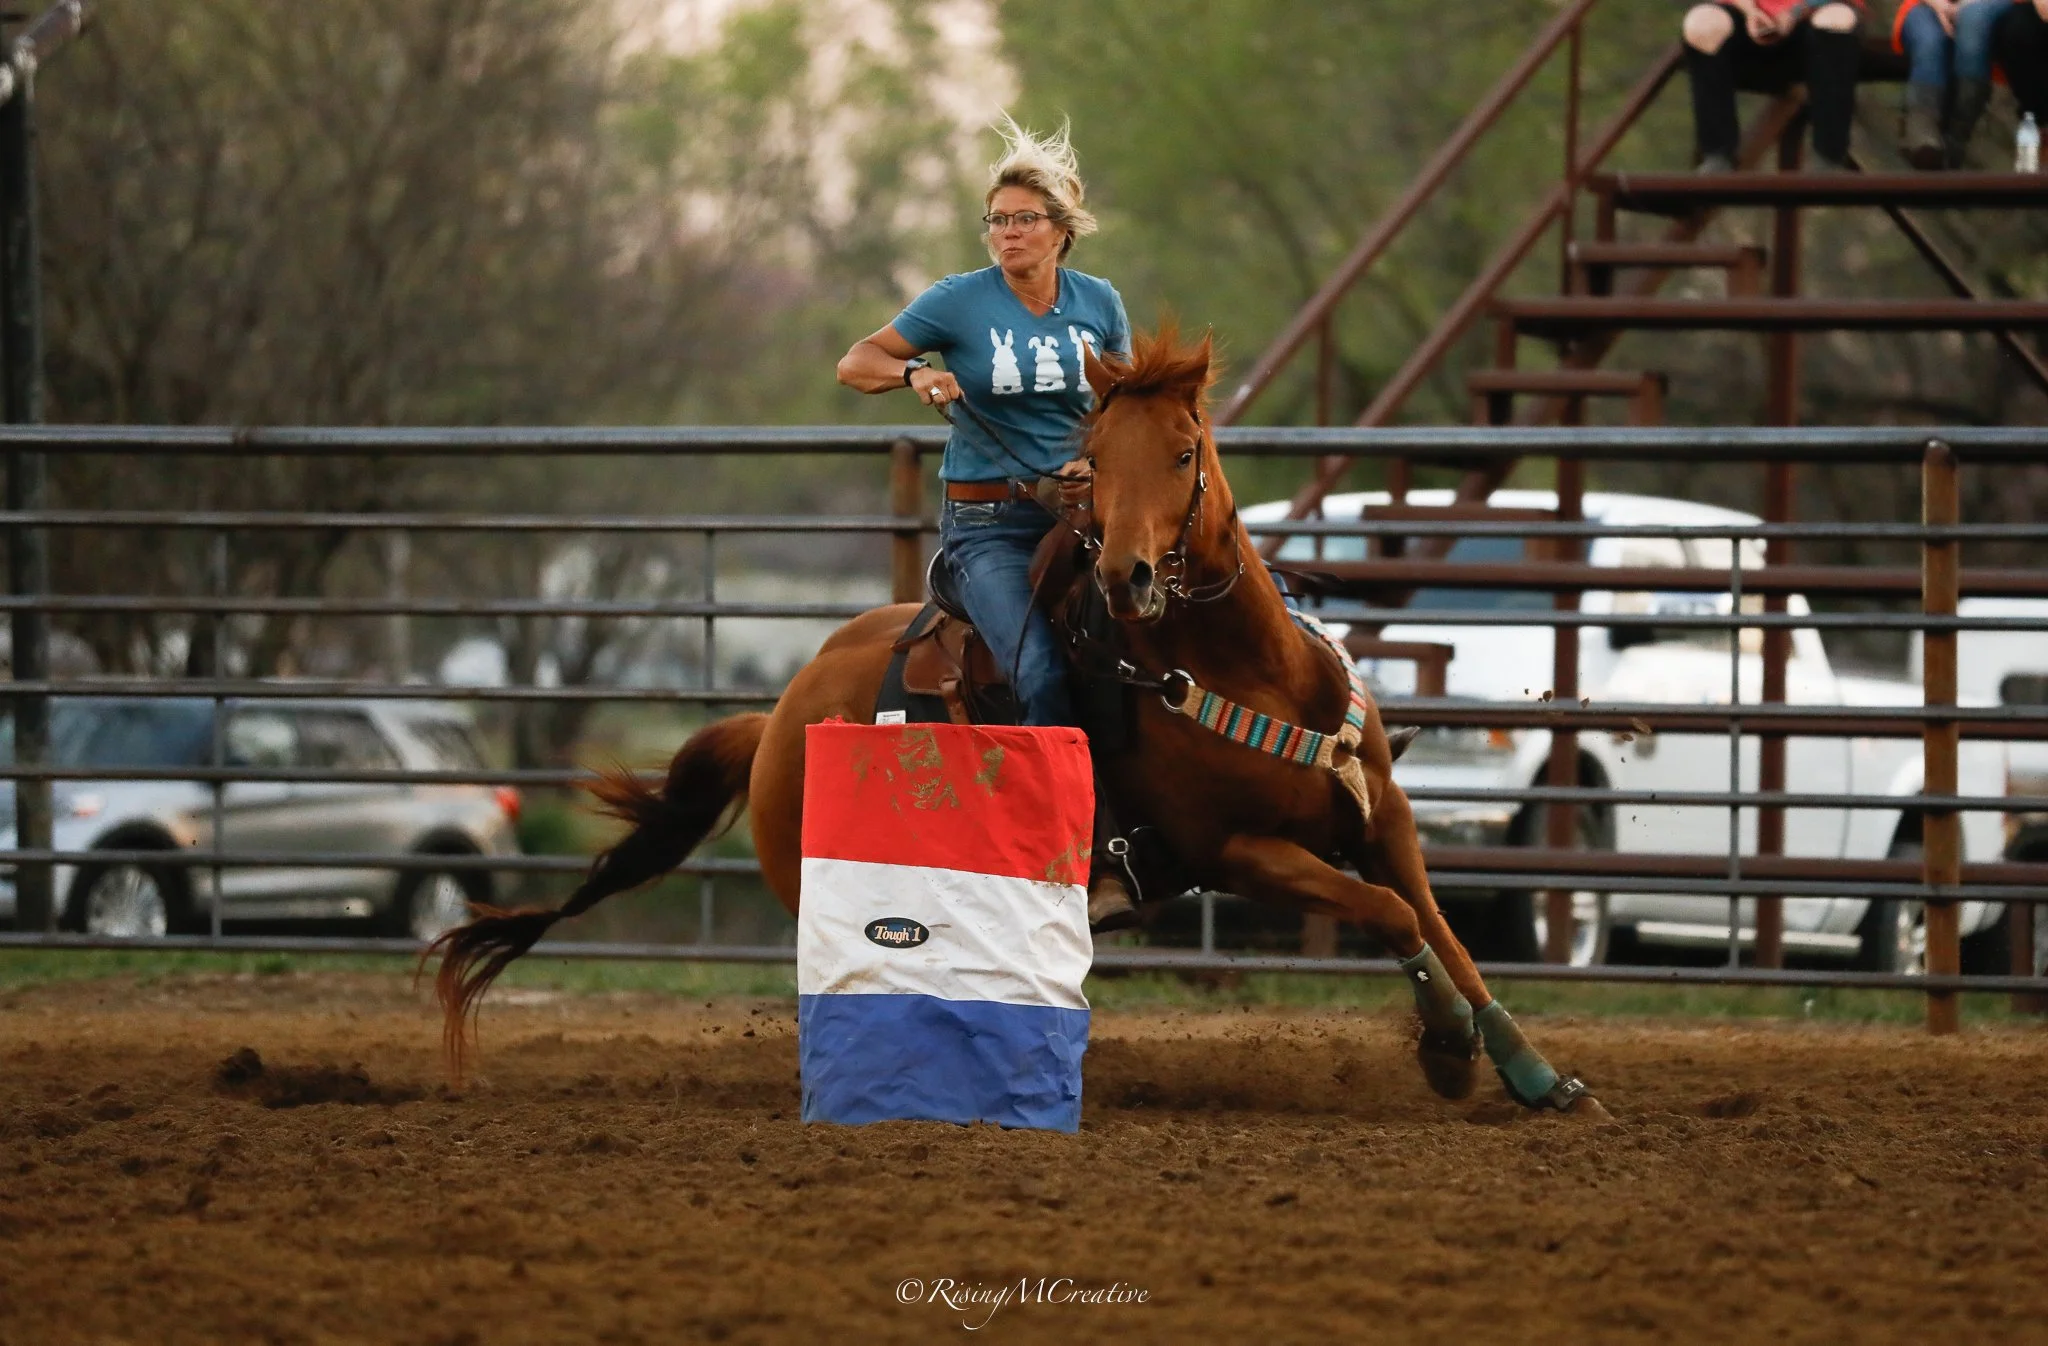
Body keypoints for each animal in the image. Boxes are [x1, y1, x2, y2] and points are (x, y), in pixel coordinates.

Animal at [430, 326, 1610, 1120]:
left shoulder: (1383, 819)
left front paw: (1533, 1072)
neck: (1255, 676)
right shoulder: (1237, 851)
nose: (1131, 574)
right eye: (1099, 453)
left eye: (1184, 450)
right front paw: (1446, 1052)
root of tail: (776, 719)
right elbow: (1389, 914)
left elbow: (1440, 927)